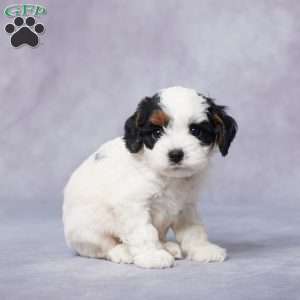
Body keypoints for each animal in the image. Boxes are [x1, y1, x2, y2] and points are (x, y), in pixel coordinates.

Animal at [63, 85, 237, 268]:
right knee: (103, 246)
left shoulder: (186, 206)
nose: (176, 154)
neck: (166, 176)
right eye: (157, 132)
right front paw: (152, 255)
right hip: (87, 231)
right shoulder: (132, 205)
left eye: (195, 131)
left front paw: (202, 248)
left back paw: (167, 246)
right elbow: (143, 231)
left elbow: (194, 229)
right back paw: (123, 251)